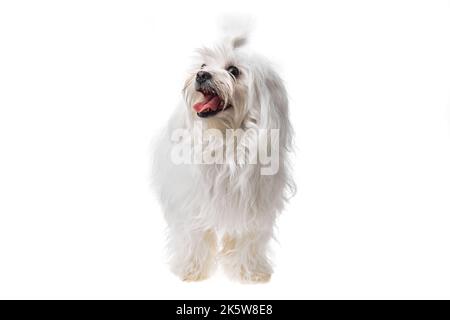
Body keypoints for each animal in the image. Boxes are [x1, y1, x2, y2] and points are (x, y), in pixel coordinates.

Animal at [153, 21, 296, 282]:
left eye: (233, 70)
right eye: (202, 65)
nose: (201, 75)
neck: (225, 138)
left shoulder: (254, 206)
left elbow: (247, 240)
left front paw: (250, 273)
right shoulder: (192, 204)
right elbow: (193, 236)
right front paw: (191, 270)